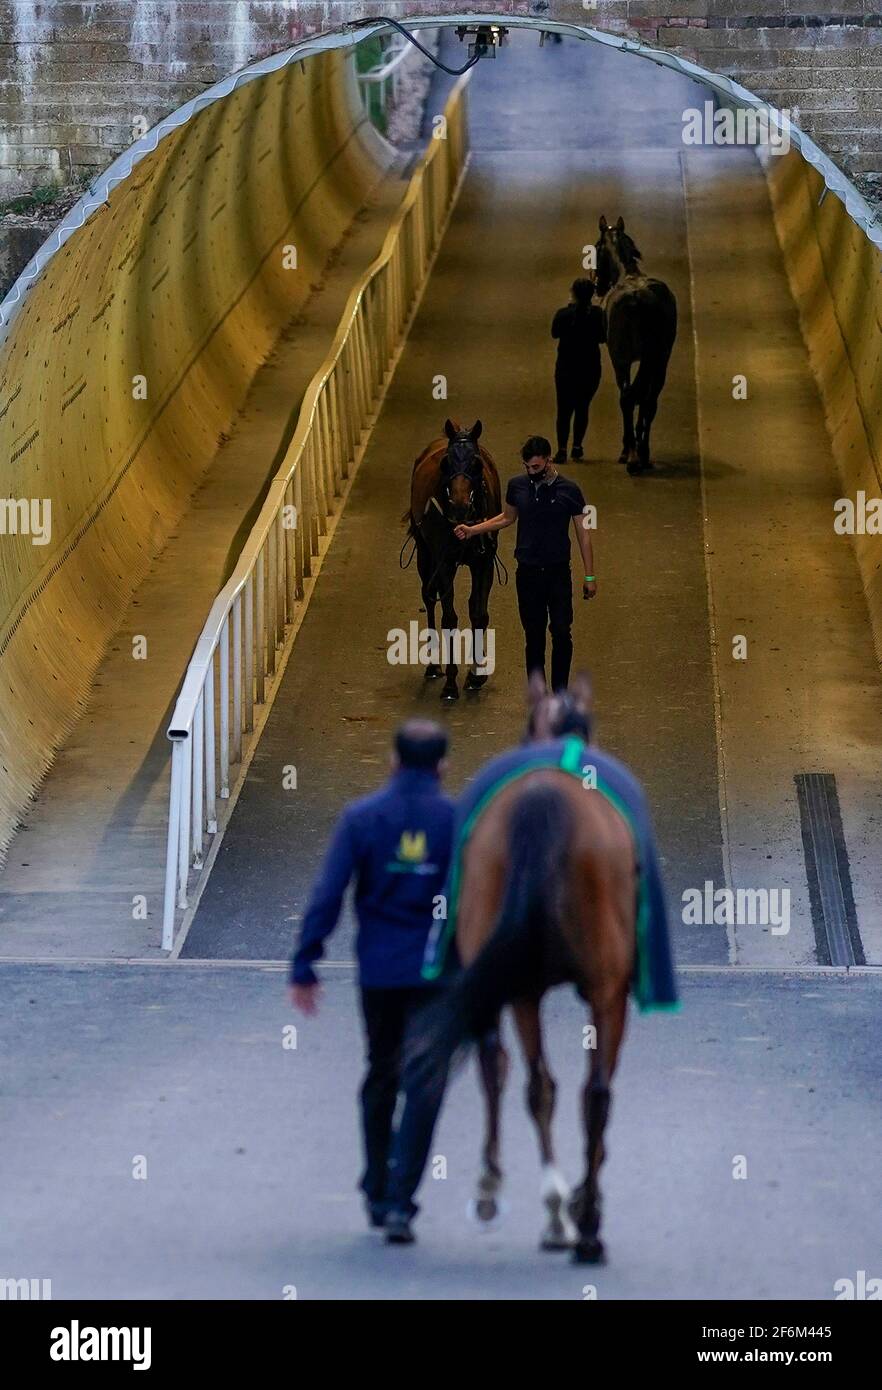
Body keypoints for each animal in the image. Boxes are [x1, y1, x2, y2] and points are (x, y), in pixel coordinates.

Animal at [402, 417, 500, 700]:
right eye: (445, 462)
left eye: (477, 463)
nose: (459, 507)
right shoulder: (444, 563)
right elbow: (449, 617)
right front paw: (451, 682)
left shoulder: (484, 562)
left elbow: (479, 613)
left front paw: (476, 675)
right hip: (425, 555)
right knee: (428, 596)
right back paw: (434, 665)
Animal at [422, 675, 641, 1273]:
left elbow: (502, 1068)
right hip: (594, 988)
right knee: (587, 1092)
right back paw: (580, 1222)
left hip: (524, 983)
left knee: (531, 1078)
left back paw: (550, 1210)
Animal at [597, 214, 680, 475]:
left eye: (596, 247)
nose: (598, 286)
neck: (628, 273)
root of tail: (637, 299)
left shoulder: (620, 360)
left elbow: (627, 396)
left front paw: (627, 448)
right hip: (659, 357)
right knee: (649, 398)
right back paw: (642, 453)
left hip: (623, 357)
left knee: (628, 396)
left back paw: (633, 455)